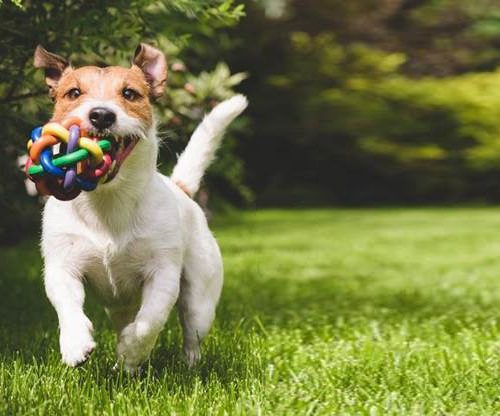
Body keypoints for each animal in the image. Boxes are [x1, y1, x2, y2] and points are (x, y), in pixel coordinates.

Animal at [32, 44, 247, 368]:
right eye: (74, 92)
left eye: (130, 93)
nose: (101, 115)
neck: (108, 200)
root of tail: (181, 189)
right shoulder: (62, 266)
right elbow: (68, 305)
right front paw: (75, 343)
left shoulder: (163, 274)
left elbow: (150, 322)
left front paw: (132, 350)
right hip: (119, 306)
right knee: (124, 318)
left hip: (201, 298)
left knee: (191, 332)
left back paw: (183, 364)